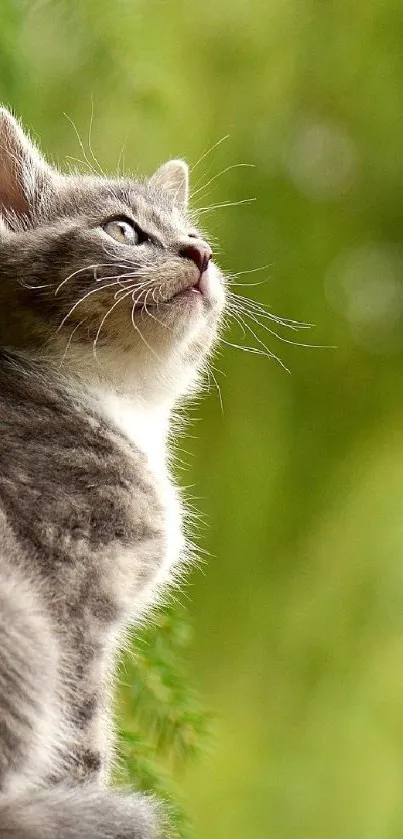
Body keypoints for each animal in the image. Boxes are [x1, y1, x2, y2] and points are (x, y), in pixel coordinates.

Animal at [0, 108, 226, 836]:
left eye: (196, 237)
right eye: (123, 230)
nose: (198, 255)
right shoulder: (73, 601)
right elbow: (81, 736)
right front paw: (87, 796)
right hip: (23, 625)